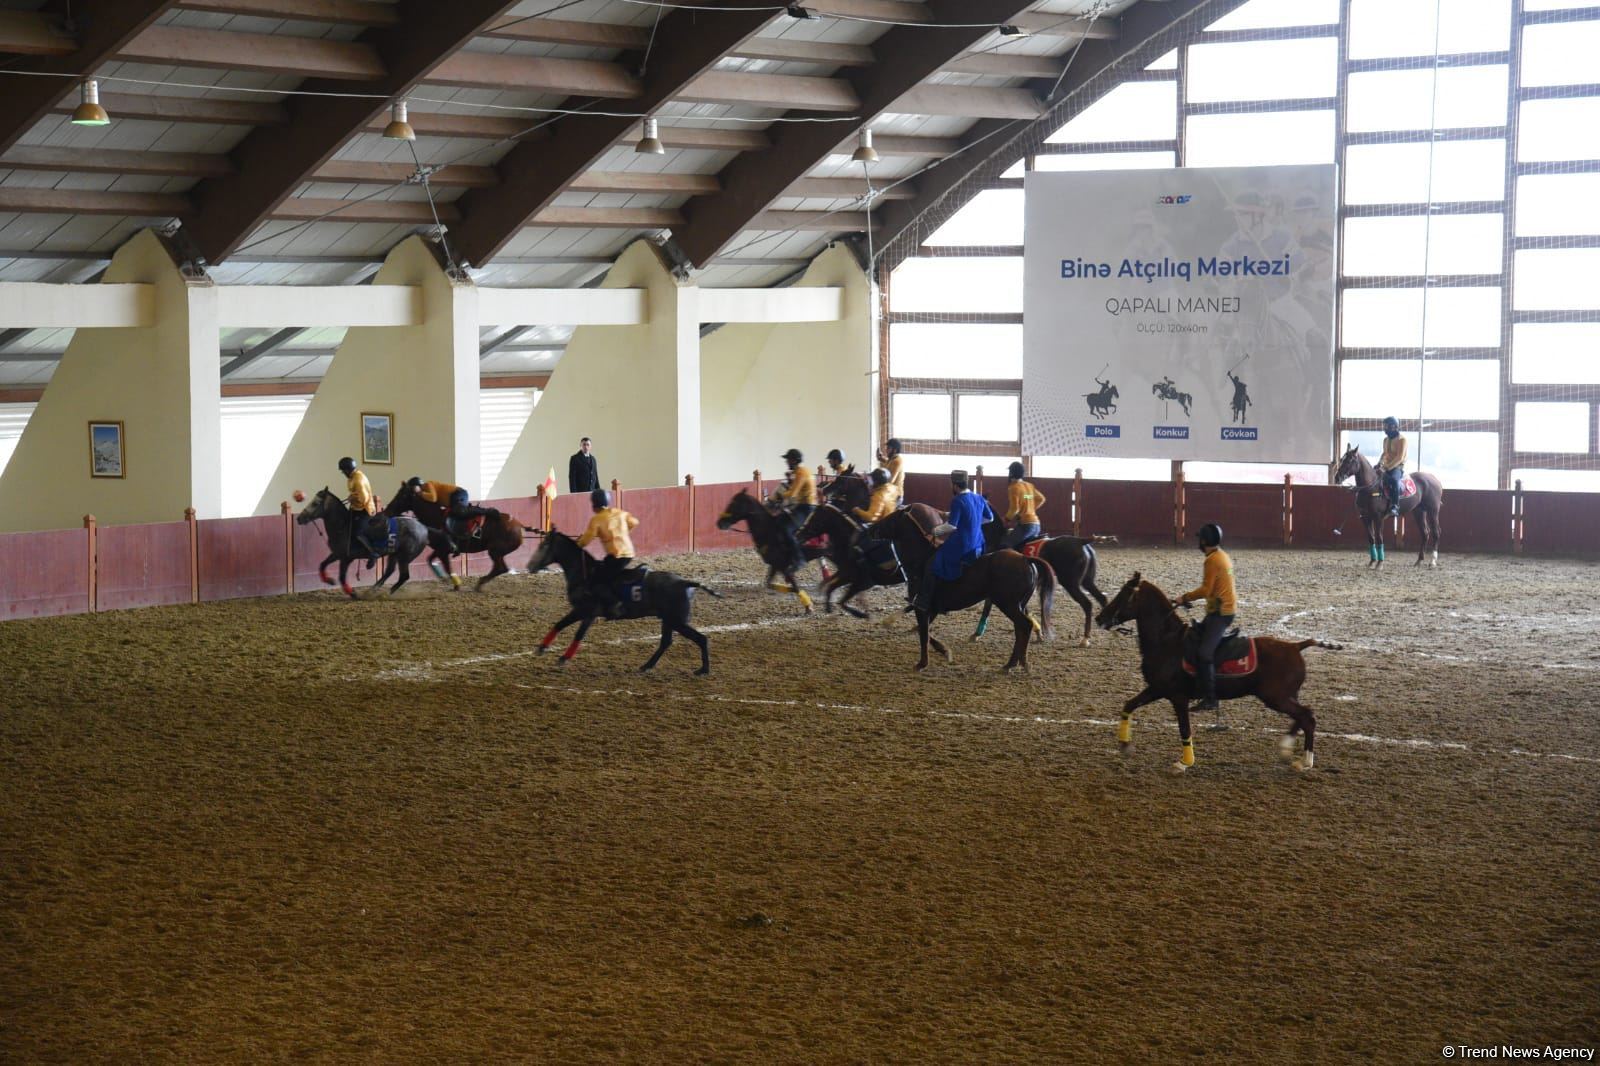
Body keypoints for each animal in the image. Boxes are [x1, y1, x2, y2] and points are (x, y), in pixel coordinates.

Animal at [294, 486, 451, 598]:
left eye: (315, 503)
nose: (299, 518)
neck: (343, 525)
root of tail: (424, 527)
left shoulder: (346, 558)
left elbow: (342, 577)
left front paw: (352, 593)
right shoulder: (337, 554)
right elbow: (322, 565)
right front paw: (328, 580)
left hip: (405, 556)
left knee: (404, 576)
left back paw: (385, 592)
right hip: (394, 555)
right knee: (389, 572)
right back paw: (373, 590)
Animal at [380, 480, 537, 589]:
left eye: (402, 496)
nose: (386, 511)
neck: (436, 517)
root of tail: (519, 525)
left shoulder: (443, 551)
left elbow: (447, 567)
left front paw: (456, 583)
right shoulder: (440, 550)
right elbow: (430, 560)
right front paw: (442, 577)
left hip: (495, 551)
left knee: (500, 568)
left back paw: (480, 583)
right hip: (497, 552)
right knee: (501, 568)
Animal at [524, 524, 720, 669]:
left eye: (543, 546)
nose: (529, 566)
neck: (586, 573)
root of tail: (685, 583)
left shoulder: (586, 612)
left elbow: (577, 634)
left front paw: (563, 658)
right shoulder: (581, 612)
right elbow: (559, 624)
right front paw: (542, 647)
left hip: (677, 620)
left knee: (700, 639)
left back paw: (703, 670)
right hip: (669, 620)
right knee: (666, 642)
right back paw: (646, 666)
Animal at [870, 505, 1056, 669]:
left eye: (891, 518)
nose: (871, 528)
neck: (921, 560)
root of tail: (1025, 559)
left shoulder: (921, 608)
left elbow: (923, 634)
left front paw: (922, 663)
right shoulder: (931, 609)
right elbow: (925, 633)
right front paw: (944, 651)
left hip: (1008, 604)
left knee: (1024, 626)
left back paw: (1013, 663)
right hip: (1018, 604)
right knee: (1021, 629)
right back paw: (1018, 662)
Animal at [1094, 573, 1344, 771]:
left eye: (1123, 595)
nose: (1099, 618)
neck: (1168, 641)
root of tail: (1295, 645)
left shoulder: (1178, 697)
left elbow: (1184, 729)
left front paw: (1184, 763)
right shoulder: (1157, 689)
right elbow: (1128, 705)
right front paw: (1125, 745)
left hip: (1276, 697)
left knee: (1307, 717)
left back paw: (1305, 761)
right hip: (1285, 696)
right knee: (1302, 716)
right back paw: (1286, 750)